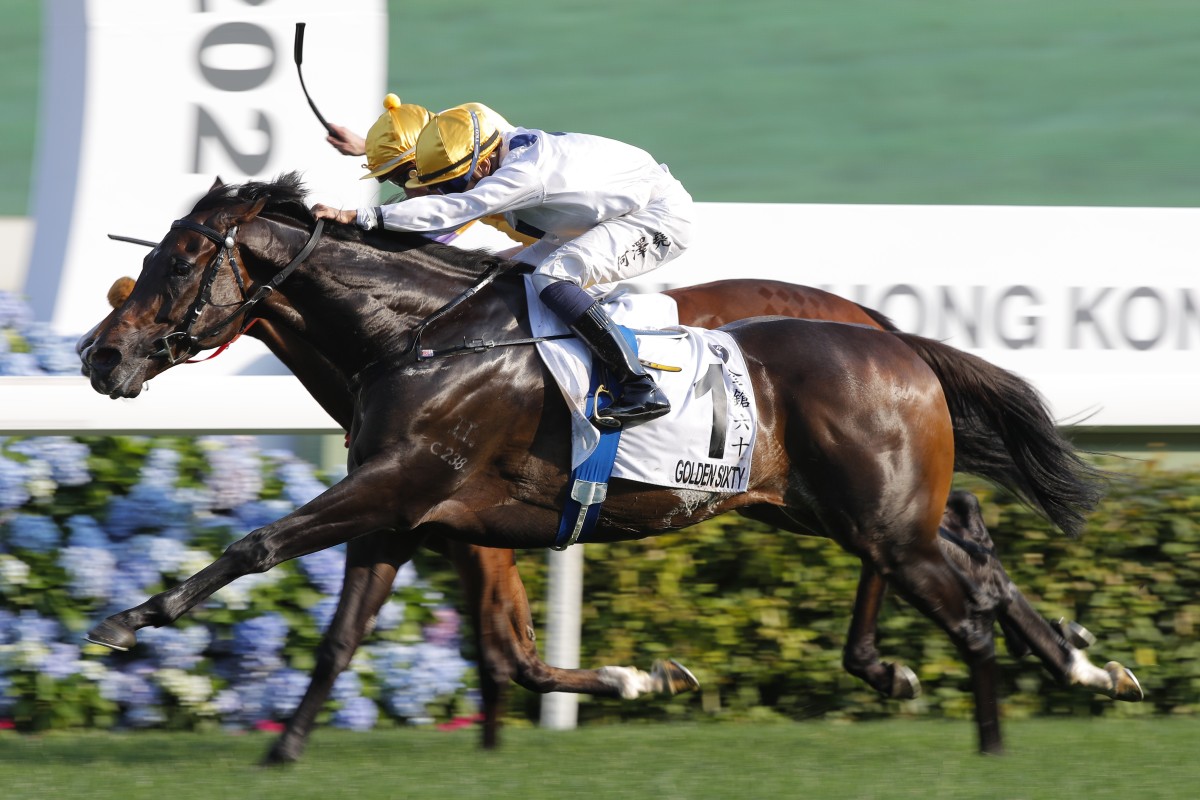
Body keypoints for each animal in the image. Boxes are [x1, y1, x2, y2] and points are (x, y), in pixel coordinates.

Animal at [82, 175, 1132, 758]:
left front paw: (128, 620)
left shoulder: (399, 488)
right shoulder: (412, 514)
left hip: (863, 507)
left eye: (180, 263)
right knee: (967, 552)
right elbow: (376, 641)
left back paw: (1008, 697)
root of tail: (894, 338)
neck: (419, 337)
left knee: (960, 579)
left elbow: (259, 546)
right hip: (820, 505)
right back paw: (1055, 665)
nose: (101, 354)